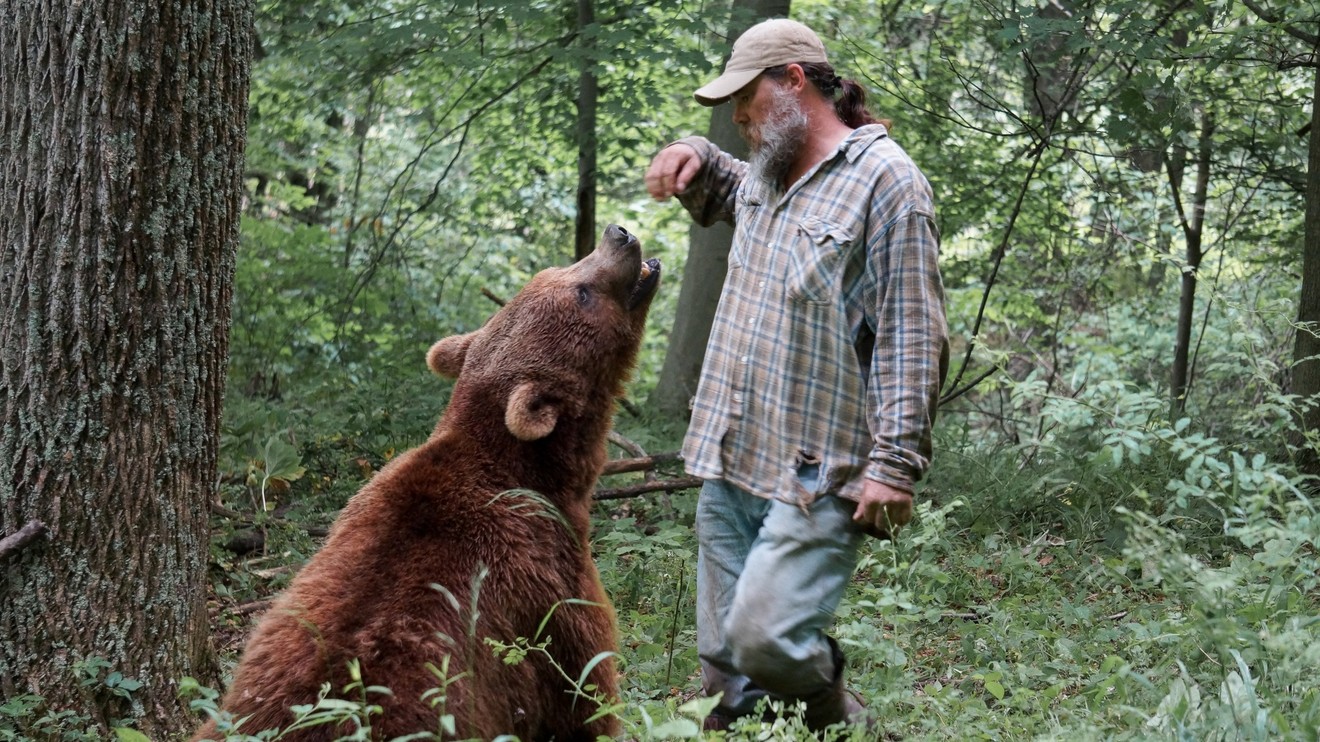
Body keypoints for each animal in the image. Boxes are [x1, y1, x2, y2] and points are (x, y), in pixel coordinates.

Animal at [193, 224, 661, 741]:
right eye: (581, 291)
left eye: (555, 268)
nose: (619, 235)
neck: (542, 476)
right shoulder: (551, 591)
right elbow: (583, 694)